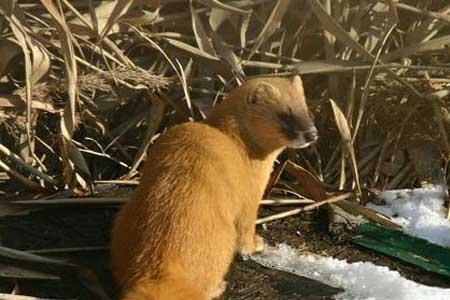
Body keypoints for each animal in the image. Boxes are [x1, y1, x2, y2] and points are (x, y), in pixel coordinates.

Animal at [110, 75, 318, 300]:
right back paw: (218, 286)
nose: (312, 134)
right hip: (222, 241)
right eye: (285, 114)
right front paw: (255, 244)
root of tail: (161, 265)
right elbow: (246, 228)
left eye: (307, 110)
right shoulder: (251, 194)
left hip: (124, 220)